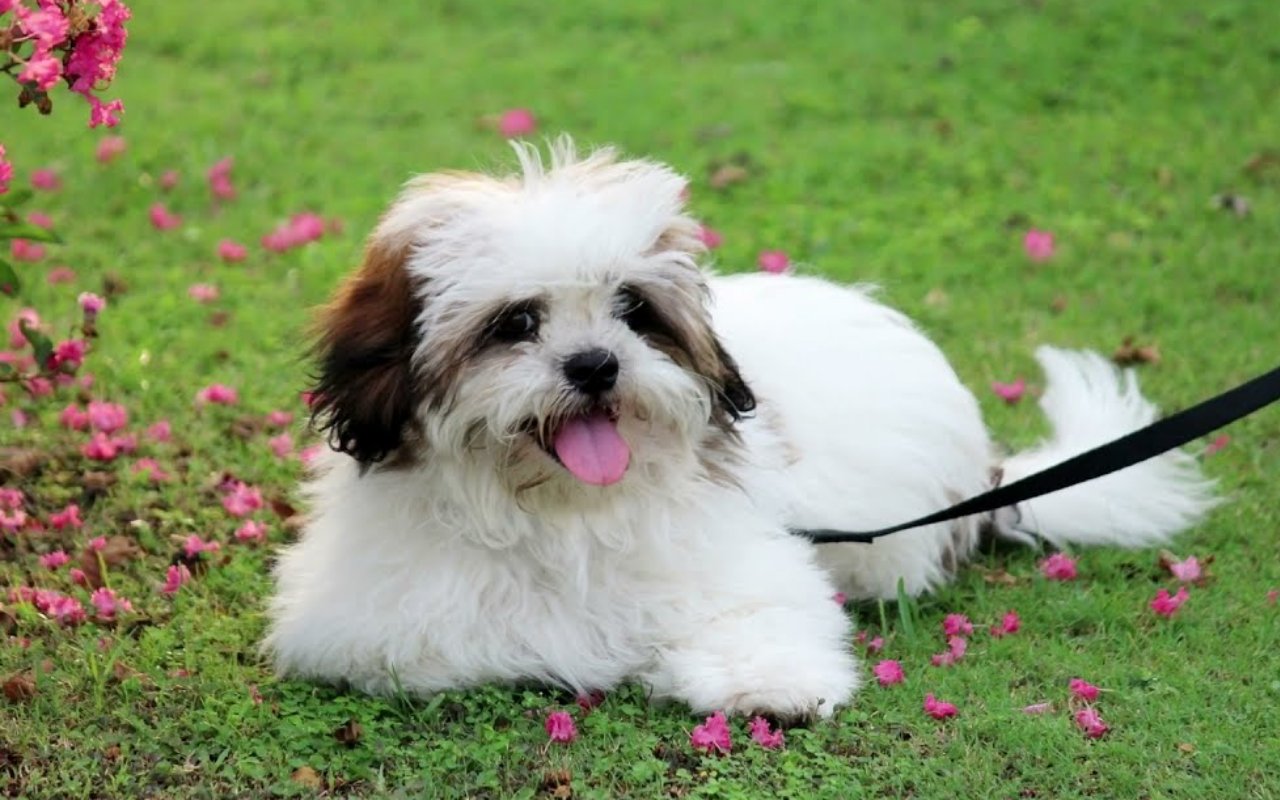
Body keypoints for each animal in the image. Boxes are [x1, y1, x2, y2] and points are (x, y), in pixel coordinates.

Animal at [262, 138, 1218, 716]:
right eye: (516, 323)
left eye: (633, 311)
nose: (595, 365)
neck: (563, 510)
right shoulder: (378, 625)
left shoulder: (751, 562)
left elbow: (761, 616)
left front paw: (769, 685)